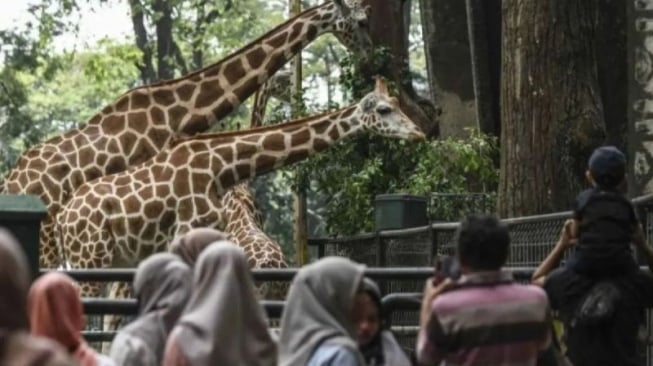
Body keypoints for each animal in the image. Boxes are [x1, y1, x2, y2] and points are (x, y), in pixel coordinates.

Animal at [54, 78, 422, 298]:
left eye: (398, 104)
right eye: (385, 109)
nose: (418, 132)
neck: (222, 168)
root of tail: (62, 219)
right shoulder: (186, 235)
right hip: (90, 261)